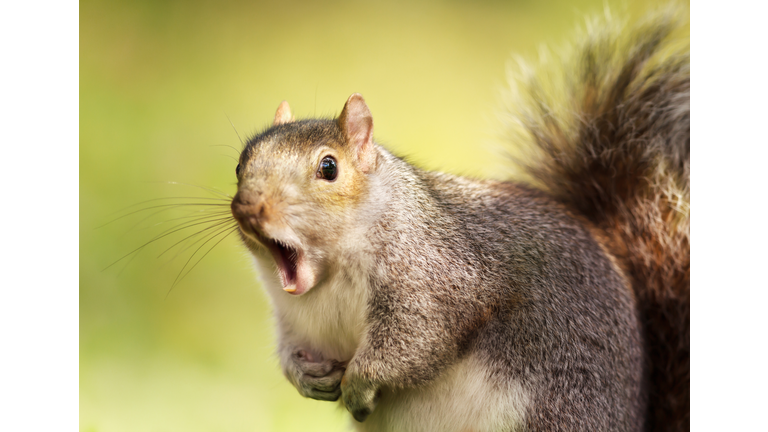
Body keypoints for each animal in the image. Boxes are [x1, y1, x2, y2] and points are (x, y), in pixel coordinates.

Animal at [228, 7, 688, 432]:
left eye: (329, 168)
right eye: (240, 165)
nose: (249, 206)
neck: (329, 276)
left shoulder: (436, 278)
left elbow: (415, 342)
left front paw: (358, 384)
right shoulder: (293, 318)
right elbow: (291, 349)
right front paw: (304, 375)